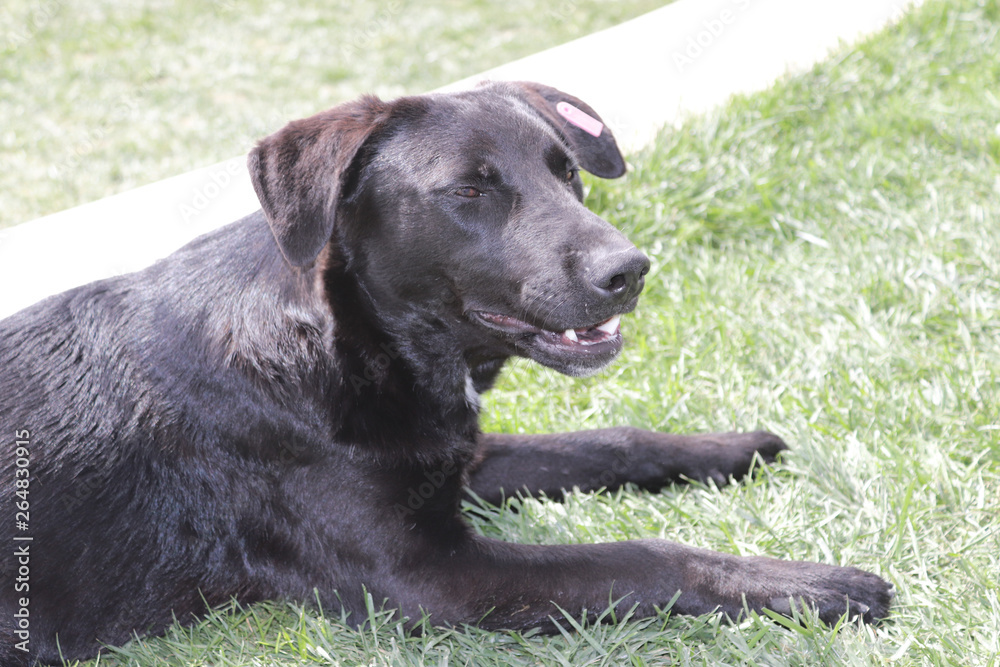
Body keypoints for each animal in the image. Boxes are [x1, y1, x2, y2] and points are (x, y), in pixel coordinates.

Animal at [0, 82, 892, 664]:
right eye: (468, 190)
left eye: (567, 170)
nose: (630, 270)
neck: (352, 340)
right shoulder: (428, 577)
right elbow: (646, 555)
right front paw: (817, 583)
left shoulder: (451, 458)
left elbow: (607, 440)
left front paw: (726, 447)